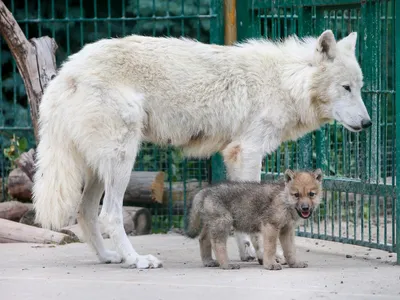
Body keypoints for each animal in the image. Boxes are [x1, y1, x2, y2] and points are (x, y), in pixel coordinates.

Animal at [32, 29, 372, 270]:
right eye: (345, 88)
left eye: (360, 87)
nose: (368, 123)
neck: (285, 82)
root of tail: (66, 72)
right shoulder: (249, 151)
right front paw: (265, 255)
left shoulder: (234, 154)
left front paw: (246, 253)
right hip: (122, 160)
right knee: (110, 215)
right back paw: (137, 260)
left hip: (98, 168)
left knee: (86, 212)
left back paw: (108, 257)